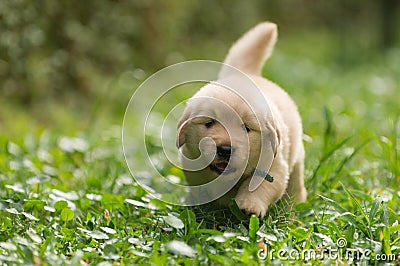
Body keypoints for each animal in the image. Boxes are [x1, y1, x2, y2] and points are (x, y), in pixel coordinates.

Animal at [176, 20, 306, 216]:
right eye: (209, 123)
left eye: (246, 128)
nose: (224, 150)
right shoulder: (193, 167)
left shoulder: (275, 164)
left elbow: (260, 186)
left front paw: (249, 206)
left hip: (296, 159)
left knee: (296, 186)